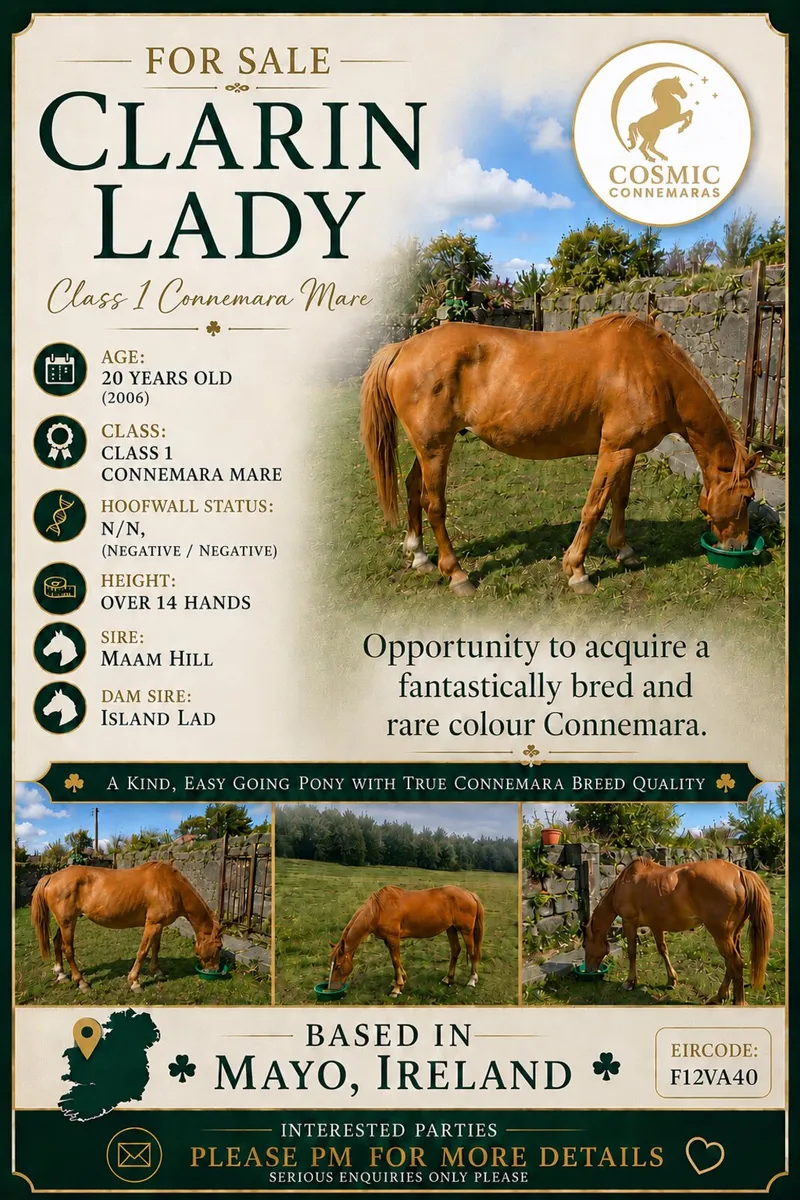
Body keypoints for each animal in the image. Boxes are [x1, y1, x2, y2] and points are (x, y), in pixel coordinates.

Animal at [31, 861, 223, 992]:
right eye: (219, 946)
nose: (214, 970)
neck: (170, 885)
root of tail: (52, 877)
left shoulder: (158, 924)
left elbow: (155, 947)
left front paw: (157, 972)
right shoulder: (152, 924)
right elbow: (143, 951)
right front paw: (134, 982)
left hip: (65, 922)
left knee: (57, 942)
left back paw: (61, 973)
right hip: (68, 922)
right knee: (68, 949)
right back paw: (82, 983)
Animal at [328, 884, 484, 998]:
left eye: (338, 966)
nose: (331, 988)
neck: (379, 909)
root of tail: (470, 894)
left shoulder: (393, 937)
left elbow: (395, 961)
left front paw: (397, 988)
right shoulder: (388, 939)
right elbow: (396, 960)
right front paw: (401, 980)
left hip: (466, 931)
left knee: (472, 953)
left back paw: (472, 981)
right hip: (451, 929)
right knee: (455, 950)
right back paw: (448, 978)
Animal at [361, 314, 758, 597]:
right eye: (748, 498)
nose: (738, 545)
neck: (651, 369)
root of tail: (403, 347)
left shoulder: (627, 451)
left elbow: (620, 499)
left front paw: (624, 551)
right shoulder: (614, 450)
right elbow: (594, 506)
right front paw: (577, 571)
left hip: (427, 447)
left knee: (413, 488)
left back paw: (419, 555)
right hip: (436, 447)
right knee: (434, 505)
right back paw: (456, 574)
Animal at [583, 857, 774, 1005]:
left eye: (585, 945)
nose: (589, 970)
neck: (627, 882)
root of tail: (740, 872)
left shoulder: (629, 923)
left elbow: (632, 953)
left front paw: (630, 982)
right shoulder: (656, 925)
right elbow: (663, 950)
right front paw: (671, 980)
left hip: (721, 934)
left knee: (735, 963)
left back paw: (737, 1001)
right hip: (733, 934)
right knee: (732, 963)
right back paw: (720, 996)